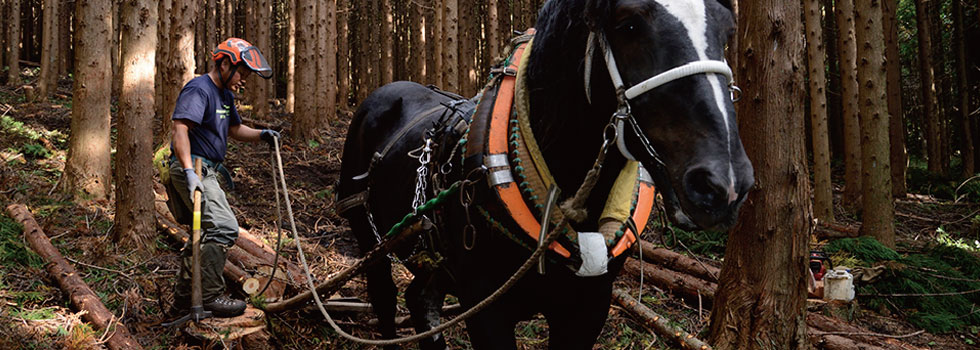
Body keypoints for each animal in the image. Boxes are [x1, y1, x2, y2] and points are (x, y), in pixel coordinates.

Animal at [334, 1, 756, 348]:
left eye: (727, 31)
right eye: (629, 24)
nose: (724, 184)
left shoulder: (587, 308)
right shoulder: (485, 308)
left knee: (421, 300)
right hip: (365, 233)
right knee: (386, 298)